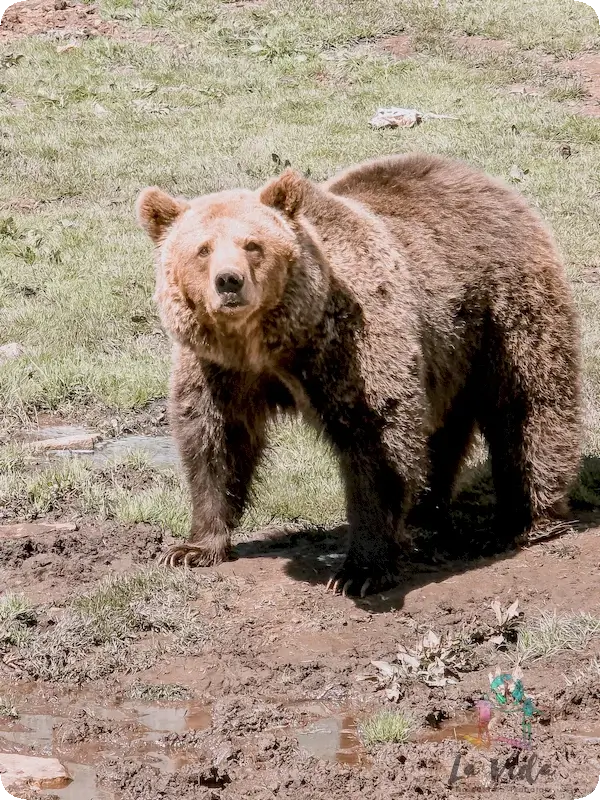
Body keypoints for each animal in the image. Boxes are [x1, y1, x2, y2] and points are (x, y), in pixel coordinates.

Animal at [137, 153, 580, 596]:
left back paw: (524, 519)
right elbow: (216, 441)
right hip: (448, 349)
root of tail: (485, 179)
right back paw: (427, 510)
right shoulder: (220, 370)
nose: (229, 281)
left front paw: (361, 570)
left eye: (253, 245)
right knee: (444, 430)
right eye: (203, 249)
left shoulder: (349, 348)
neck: (270, 345)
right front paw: (191, 547)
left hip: (503, 311)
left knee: (526, 406)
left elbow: (376, 443)